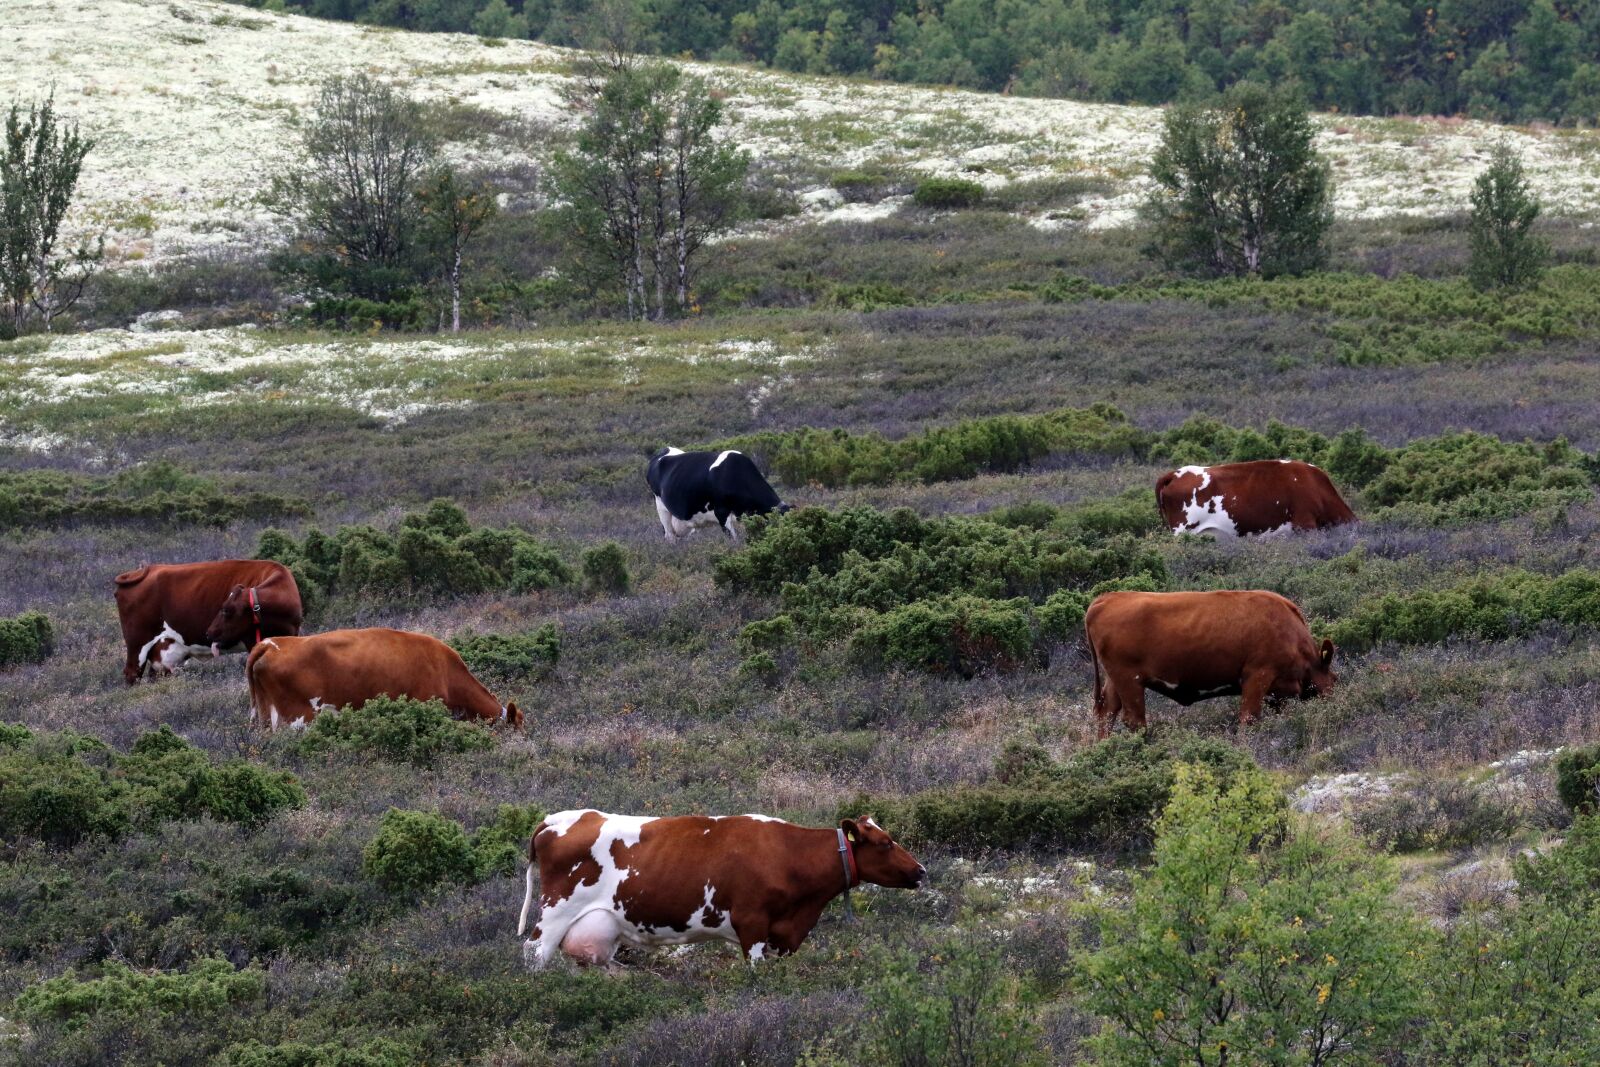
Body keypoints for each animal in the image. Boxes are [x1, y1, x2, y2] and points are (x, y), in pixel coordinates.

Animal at [518, 810, 925, 968]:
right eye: (886, 843)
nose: (920, 870)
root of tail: (555, 819)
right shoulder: (753, 923)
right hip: (555, 912)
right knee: (534, 953)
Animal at [1085, 590, 1336, 737]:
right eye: (1335, 679)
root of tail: (1106, 599)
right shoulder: (1257, 676)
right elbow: (1249, 717)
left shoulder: (1278, 692)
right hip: (1129, 680)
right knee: (1134, 719)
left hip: (1115, 681)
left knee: (1106, 712)